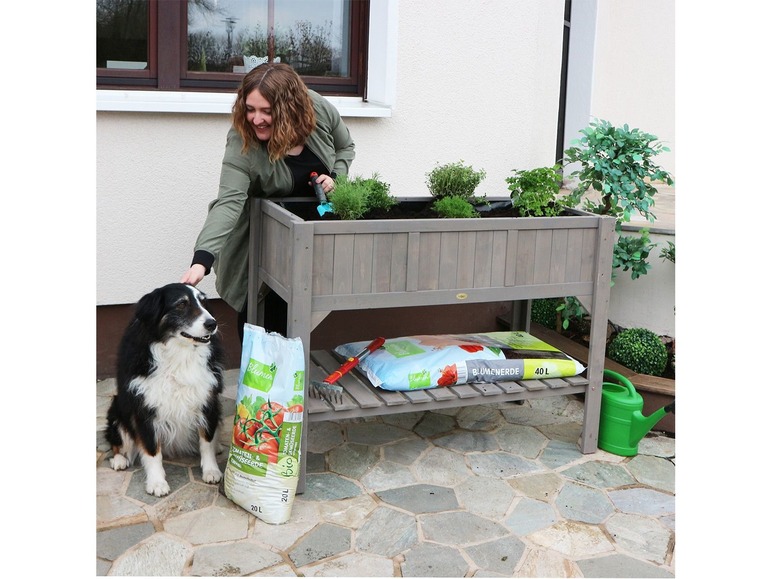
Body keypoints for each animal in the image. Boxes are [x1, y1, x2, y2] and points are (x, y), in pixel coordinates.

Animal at [106, 284, 226, 496]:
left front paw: (211, 471)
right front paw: (157, 483)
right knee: (117, 440)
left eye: (203, 303)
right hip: (117, 409)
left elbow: (206, 441)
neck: (179, 354)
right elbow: (152, 449)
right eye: (181, 304)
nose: (212, 324)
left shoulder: (207, 400)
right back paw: (120, 459)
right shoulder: (144, 408)